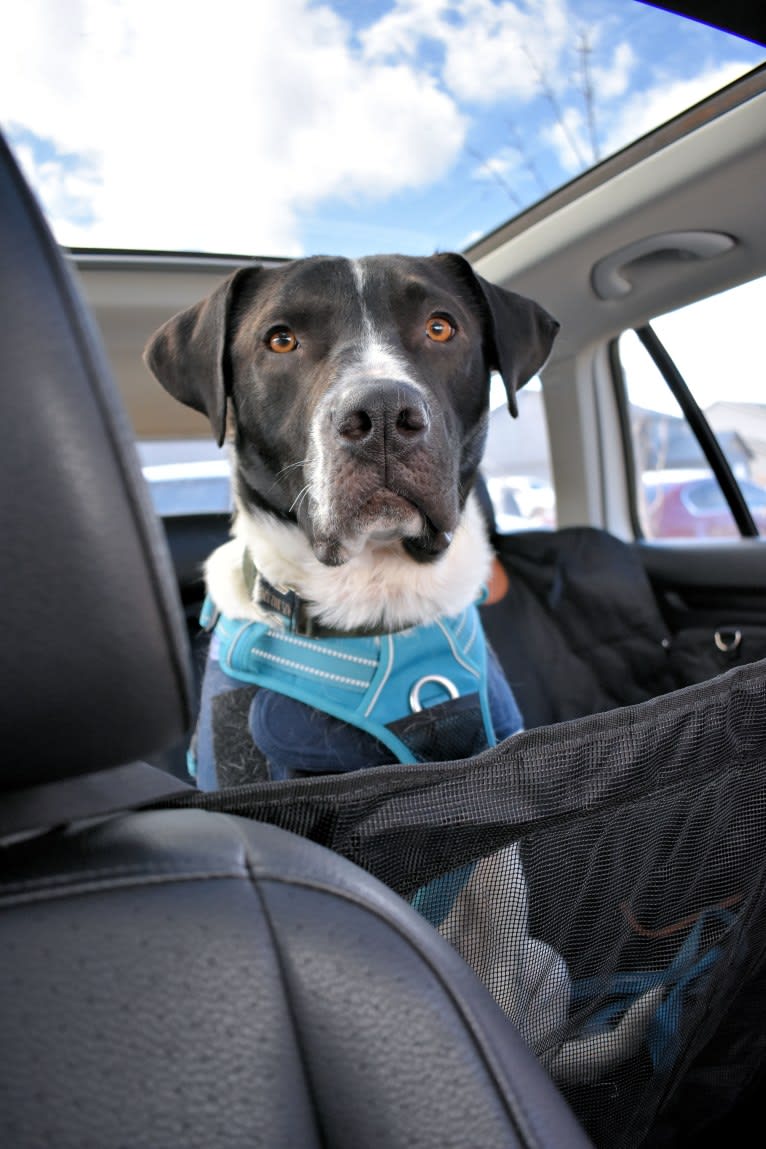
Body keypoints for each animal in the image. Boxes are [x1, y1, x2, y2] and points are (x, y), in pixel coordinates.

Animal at [145, 251, 661, 1075]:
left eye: (441, 327)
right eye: (280, 339)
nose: (384, 414)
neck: (377, 609)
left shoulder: (493, 810)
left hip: (546, 958)